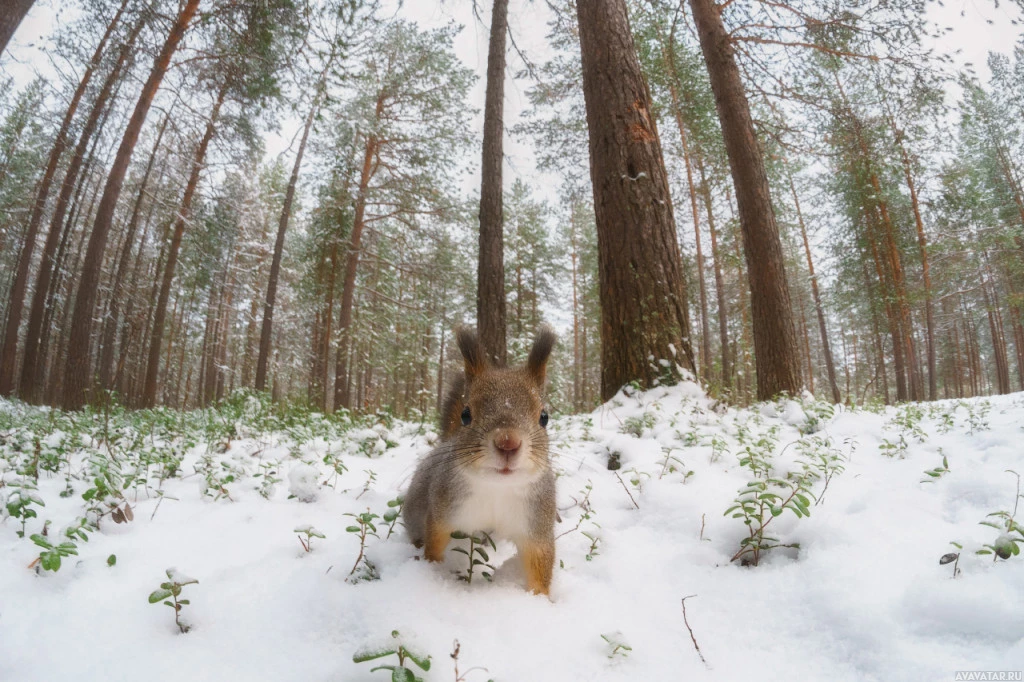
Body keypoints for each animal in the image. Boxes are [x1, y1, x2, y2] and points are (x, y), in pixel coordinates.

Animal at [401, 321, 561, 593]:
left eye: (544, 417)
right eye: (466, 415)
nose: (508, 443)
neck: (496, 489)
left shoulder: (537, 525)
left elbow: (539, 564)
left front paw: (540, 598)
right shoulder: (443, 513)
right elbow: (434, 544)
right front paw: (433, 571)